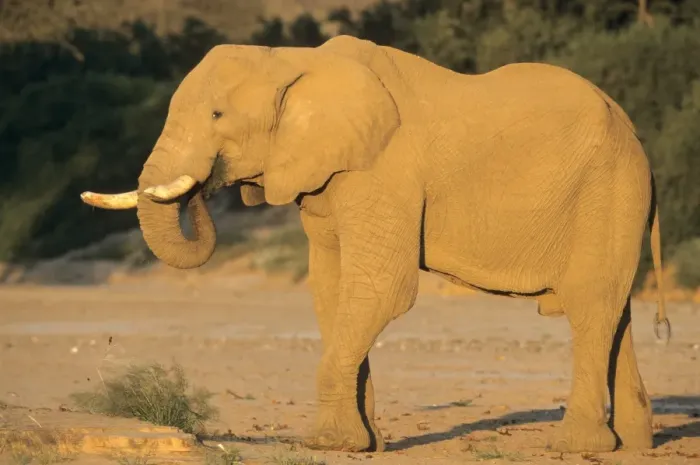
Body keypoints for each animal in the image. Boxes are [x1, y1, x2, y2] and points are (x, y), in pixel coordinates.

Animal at [81, 35, 670, 454]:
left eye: (217, 115)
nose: (207, 188)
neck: (294, 63)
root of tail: (635, 131)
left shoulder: (384, 169)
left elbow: (380, 289)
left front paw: (330, 444)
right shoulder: (325, 181)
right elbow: (332, 289)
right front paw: (367, 445)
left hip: (608, 185)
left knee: (591, 304)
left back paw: (577, 446)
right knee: (615, 311)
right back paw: (634, 445)